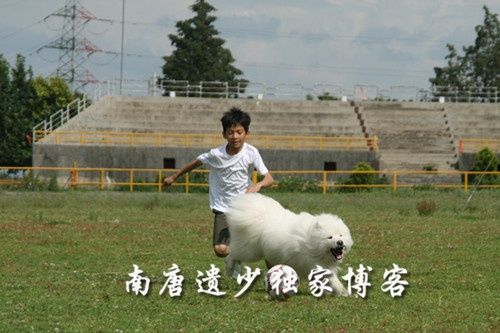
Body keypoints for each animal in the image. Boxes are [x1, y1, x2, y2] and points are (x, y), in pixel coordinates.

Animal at [225, 192, 354, 296]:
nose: (340, 242)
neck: (312, 241)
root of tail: (261, 216)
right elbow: (333, 279)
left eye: (341, 235)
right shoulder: (317, 263)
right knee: (232, 254)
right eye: (330, 237)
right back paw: (229, 269)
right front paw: (344, 292)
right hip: (250, 251)